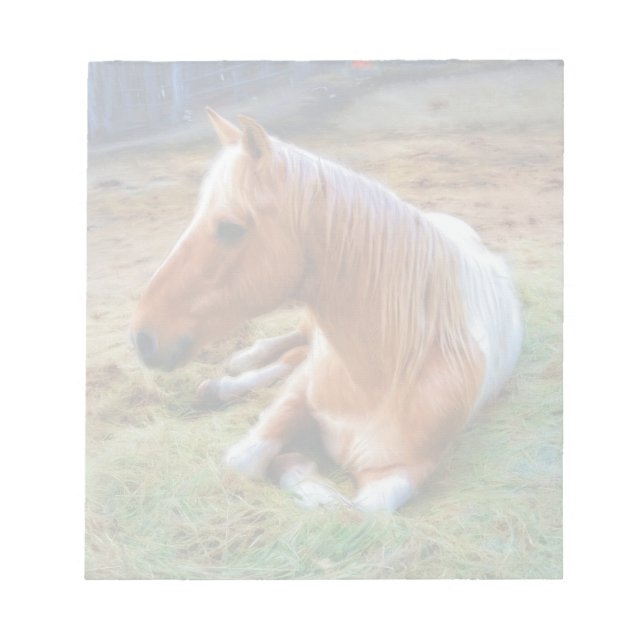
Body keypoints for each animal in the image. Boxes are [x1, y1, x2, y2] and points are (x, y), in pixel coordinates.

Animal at [130, 109, 523, 512]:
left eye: (230, 228)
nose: (143, 337)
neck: (377, 379)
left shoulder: (400, 473)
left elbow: (354, 511)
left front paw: (298, 467)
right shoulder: (299, 392)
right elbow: (245, 459)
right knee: (292, 347)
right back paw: (237, 366)